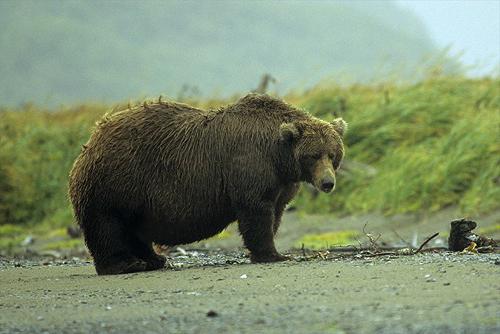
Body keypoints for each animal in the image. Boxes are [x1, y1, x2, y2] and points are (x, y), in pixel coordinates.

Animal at [68, 93, 346, 274]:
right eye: (313, 155)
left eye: (332, 154)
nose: (327, 183)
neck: (279, 157)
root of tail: (91, 141)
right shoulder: (249, 165)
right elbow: (256, 212)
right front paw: (273, 254)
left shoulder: (281, 182)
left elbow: (275, 213)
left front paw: (269, 251)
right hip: (116, 182)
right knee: (108, 226)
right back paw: (125, 264)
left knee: (134, 230)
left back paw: (155, 259)